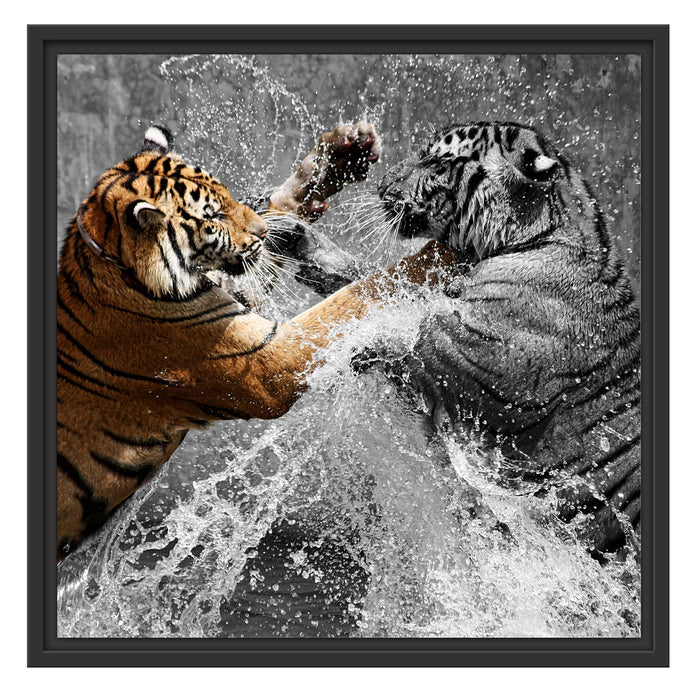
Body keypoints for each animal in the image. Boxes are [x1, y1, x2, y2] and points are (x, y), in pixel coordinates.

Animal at [56, 122, 456, 561]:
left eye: (229, 196)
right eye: (213, 216)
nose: (263, 232)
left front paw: (340, 155)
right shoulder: (267, 364)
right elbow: (350, 298)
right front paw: (437, 256)